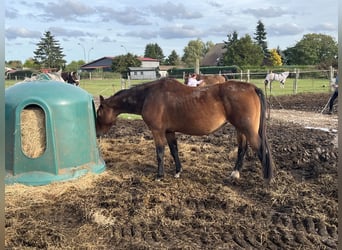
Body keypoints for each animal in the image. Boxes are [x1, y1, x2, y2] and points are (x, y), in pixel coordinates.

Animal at [96, 77, 276, 183]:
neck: (148, 96)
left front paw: (159, 175)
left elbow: (160, 152)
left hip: (248, 130)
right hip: (241, 129)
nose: (97, 133)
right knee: (242, 148)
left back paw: (266, 179)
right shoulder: (169, 131)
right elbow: (174, 150)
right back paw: (235, 173)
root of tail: (252, 87)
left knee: (261, 149)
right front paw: (178, 171)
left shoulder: (157, 131)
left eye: (98, 112)